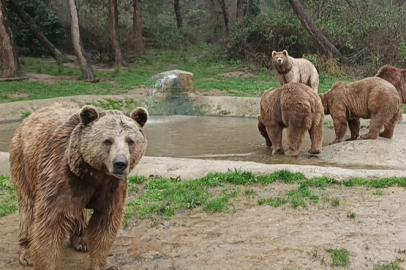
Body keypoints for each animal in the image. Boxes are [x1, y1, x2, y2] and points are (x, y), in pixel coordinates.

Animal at [9, 102, 148, 270]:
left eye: (130, 141)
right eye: (108, 141)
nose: (120, 163)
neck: (94, 173)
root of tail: (30, 117)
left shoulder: (112, 186)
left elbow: (105, 222)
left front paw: (103, 263)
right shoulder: (60, 177)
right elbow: (51, 222)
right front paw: (47, 263)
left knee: (80, 212)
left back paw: (82, 241)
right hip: (24, 164)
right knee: (28, 210)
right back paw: (27, 253)